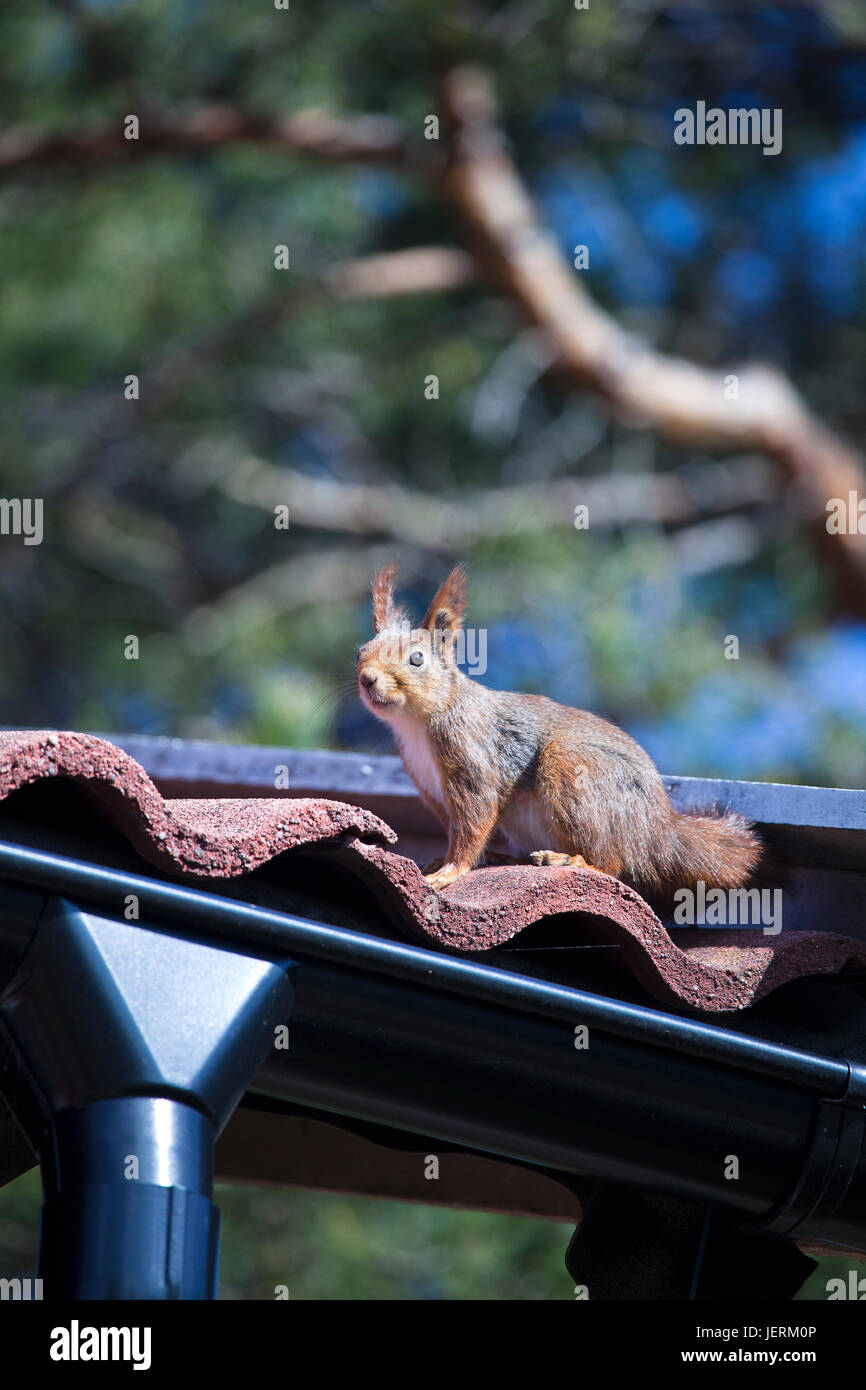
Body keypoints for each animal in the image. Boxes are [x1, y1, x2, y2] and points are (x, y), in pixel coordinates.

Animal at [357, 562, 761, 894]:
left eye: (417, 659)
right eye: (361, 651)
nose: (367, 679)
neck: (418, 723)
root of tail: (656, 829)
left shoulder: (470, 756)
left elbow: (474, 821)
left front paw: (449, 871)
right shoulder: (430, 786)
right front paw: (445, 861)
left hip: (573, 768)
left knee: (612, 862)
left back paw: (570, 859)